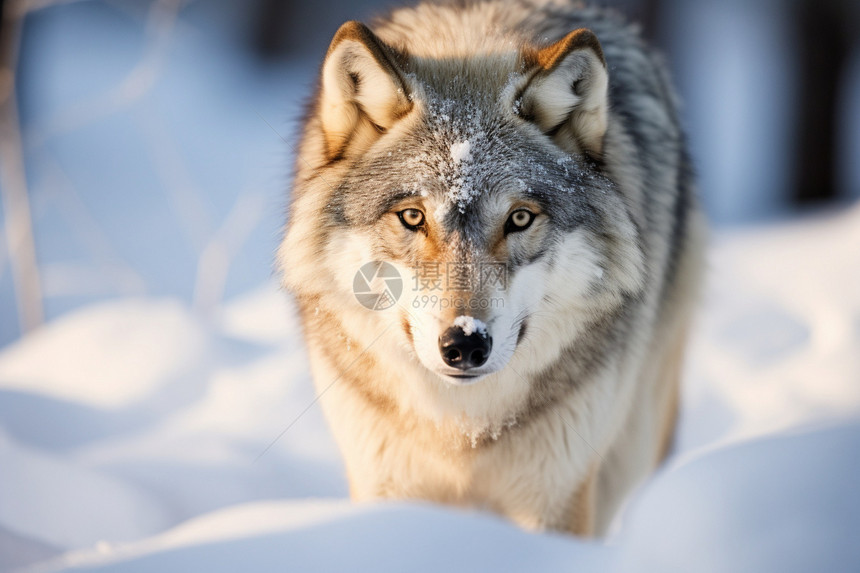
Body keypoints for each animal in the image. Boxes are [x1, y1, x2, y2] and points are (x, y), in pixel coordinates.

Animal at [278, 0, 704, 536]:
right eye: (412, 217)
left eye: (519, 218)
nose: (464, 343)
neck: (462, 427)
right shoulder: (386, 483)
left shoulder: (556, 497)